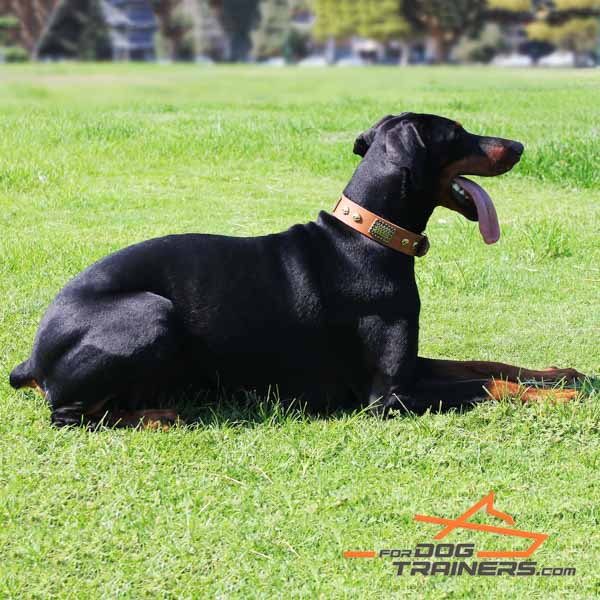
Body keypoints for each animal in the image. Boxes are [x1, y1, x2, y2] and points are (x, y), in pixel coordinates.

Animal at [9, 110, 584, 424]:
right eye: (458, 133)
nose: (518, 146)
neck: (366, 237)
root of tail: (32, 360)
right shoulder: (388, 396)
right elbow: (487, 385)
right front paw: (559, 398)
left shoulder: (409, 367)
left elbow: (484, 363)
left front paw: (560, 375)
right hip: (152, 312)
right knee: (69, 416)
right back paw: (157, 416)